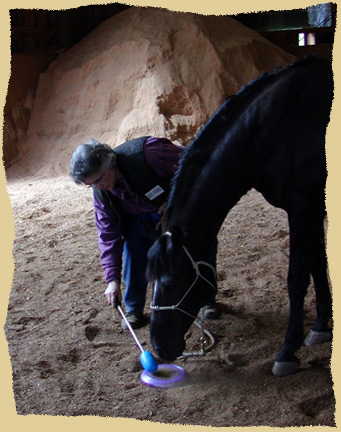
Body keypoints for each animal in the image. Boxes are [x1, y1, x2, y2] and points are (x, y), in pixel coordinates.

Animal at [145, 56, 332, 374]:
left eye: (169, 282)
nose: (159, 347)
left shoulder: (303, 206)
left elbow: (297, 277)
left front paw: (288, 351)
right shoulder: (313, 207)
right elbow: (318, 263)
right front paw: (321, 326)